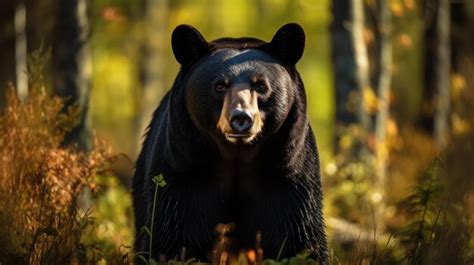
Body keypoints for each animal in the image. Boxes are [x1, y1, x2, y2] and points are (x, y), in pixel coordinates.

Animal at [131, 23, 328, 262]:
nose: (241, 118)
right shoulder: (184, 173)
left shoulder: (287, 174)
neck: (237, 155)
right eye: (220, 85)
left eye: (260, 86)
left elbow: (299, 235)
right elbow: (170, 235)